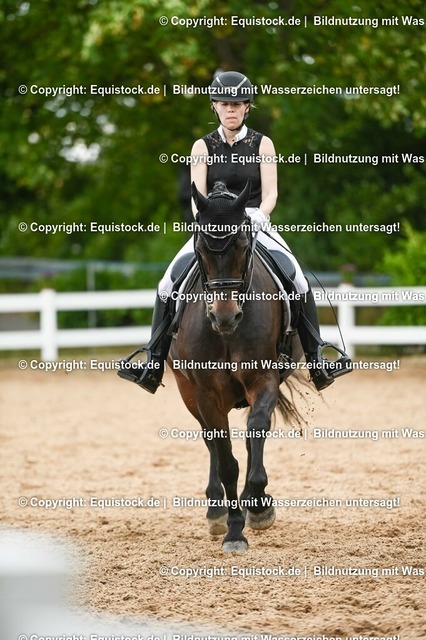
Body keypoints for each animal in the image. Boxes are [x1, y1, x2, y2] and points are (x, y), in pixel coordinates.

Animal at [168, 180, 304, 552]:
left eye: (243, 246)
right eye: (201, 249)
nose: (225, 317)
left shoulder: (264, 378)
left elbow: (255, 430)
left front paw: (257, 504)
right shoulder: (204, 393)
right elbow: (226, 458)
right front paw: (232, 529)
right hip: (188, 392)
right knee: (210, 441)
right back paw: (216, 510)